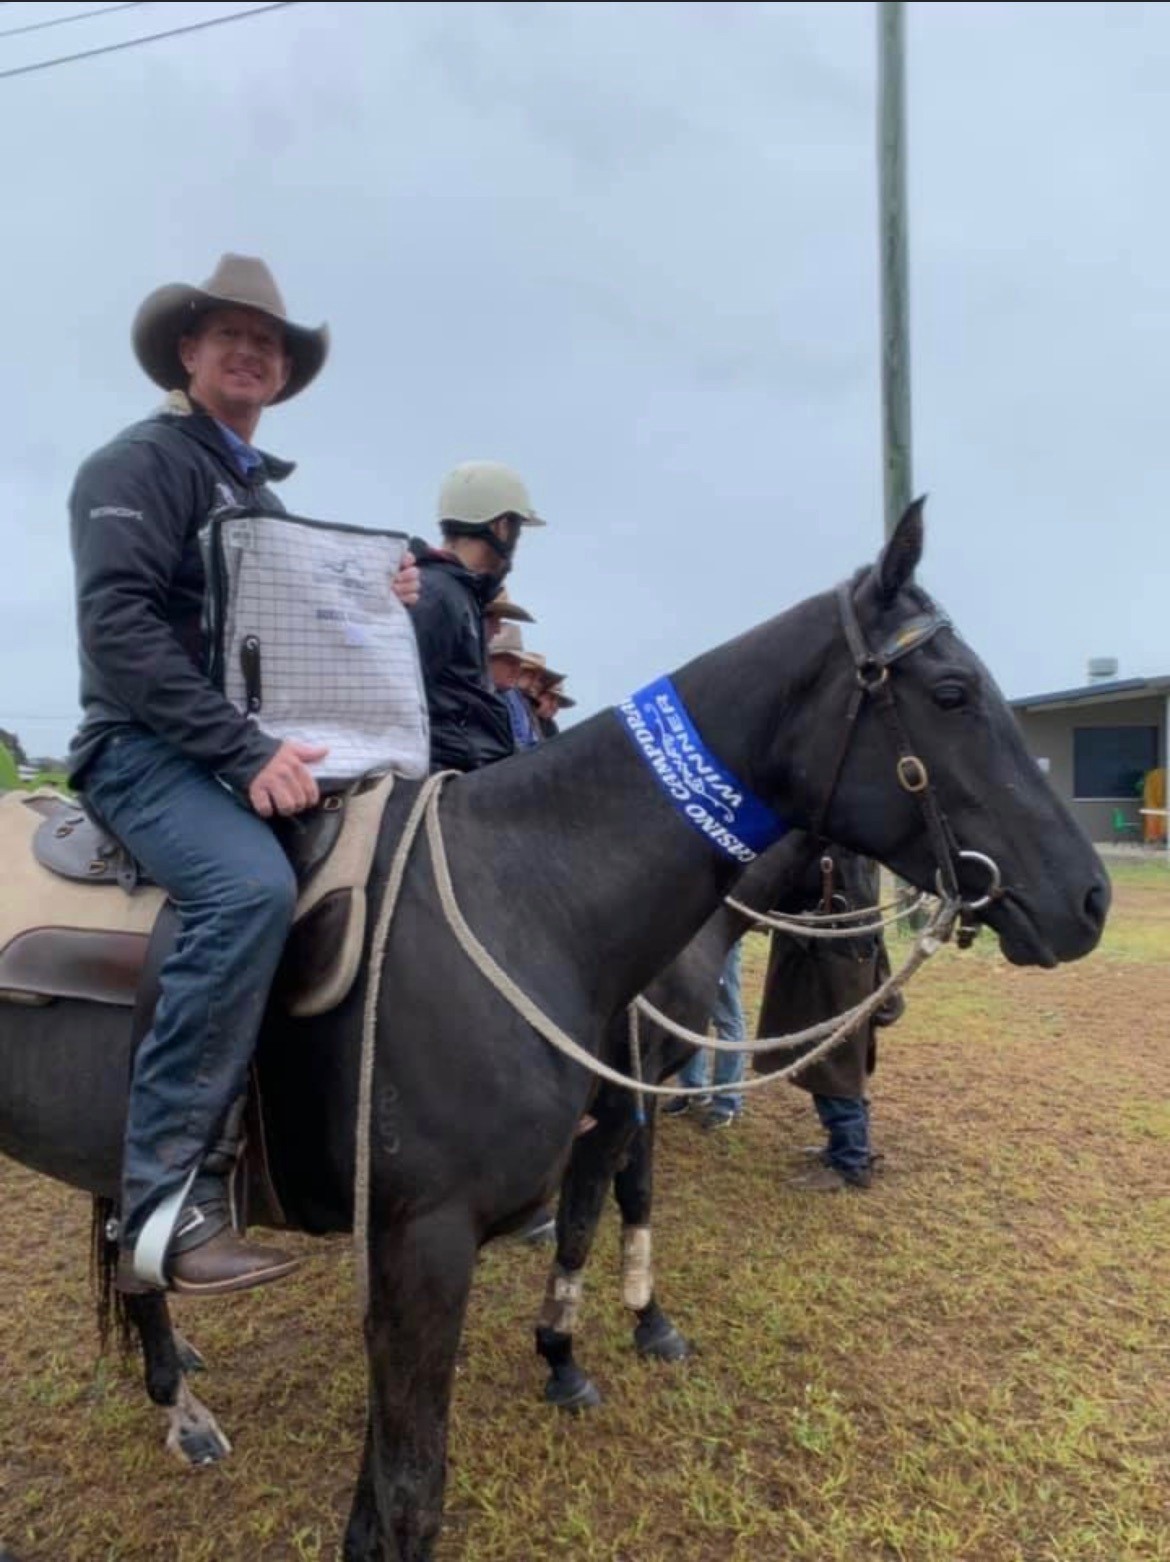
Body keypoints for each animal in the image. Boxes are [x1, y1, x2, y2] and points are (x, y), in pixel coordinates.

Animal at [0, 504, 1109, 1560]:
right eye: (953, 691)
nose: (1089, 897)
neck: (532, 897)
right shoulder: (432, 1239)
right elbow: (415, 1489)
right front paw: (588, 1346)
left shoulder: (582, 1128)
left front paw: (612, 1337)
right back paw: (181, 1397)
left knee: (124, 1228)